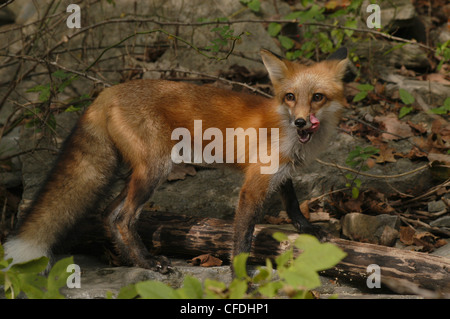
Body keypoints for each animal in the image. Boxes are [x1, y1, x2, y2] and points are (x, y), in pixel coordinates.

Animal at [2, 47, 348, 272]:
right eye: (290, 97)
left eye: (317, 97)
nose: (301, 122)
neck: (285, 130)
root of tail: (106, 92)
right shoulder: (252, 186)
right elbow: (242, 241)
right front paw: (241, 280)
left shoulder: (280, 172)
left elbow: (292, 204)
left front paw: (310, 230)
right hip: (156, 169)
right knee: (122, 218)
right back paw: (149, 263)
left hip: (141, 174)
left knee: (108, 214)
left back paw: (133, 262)